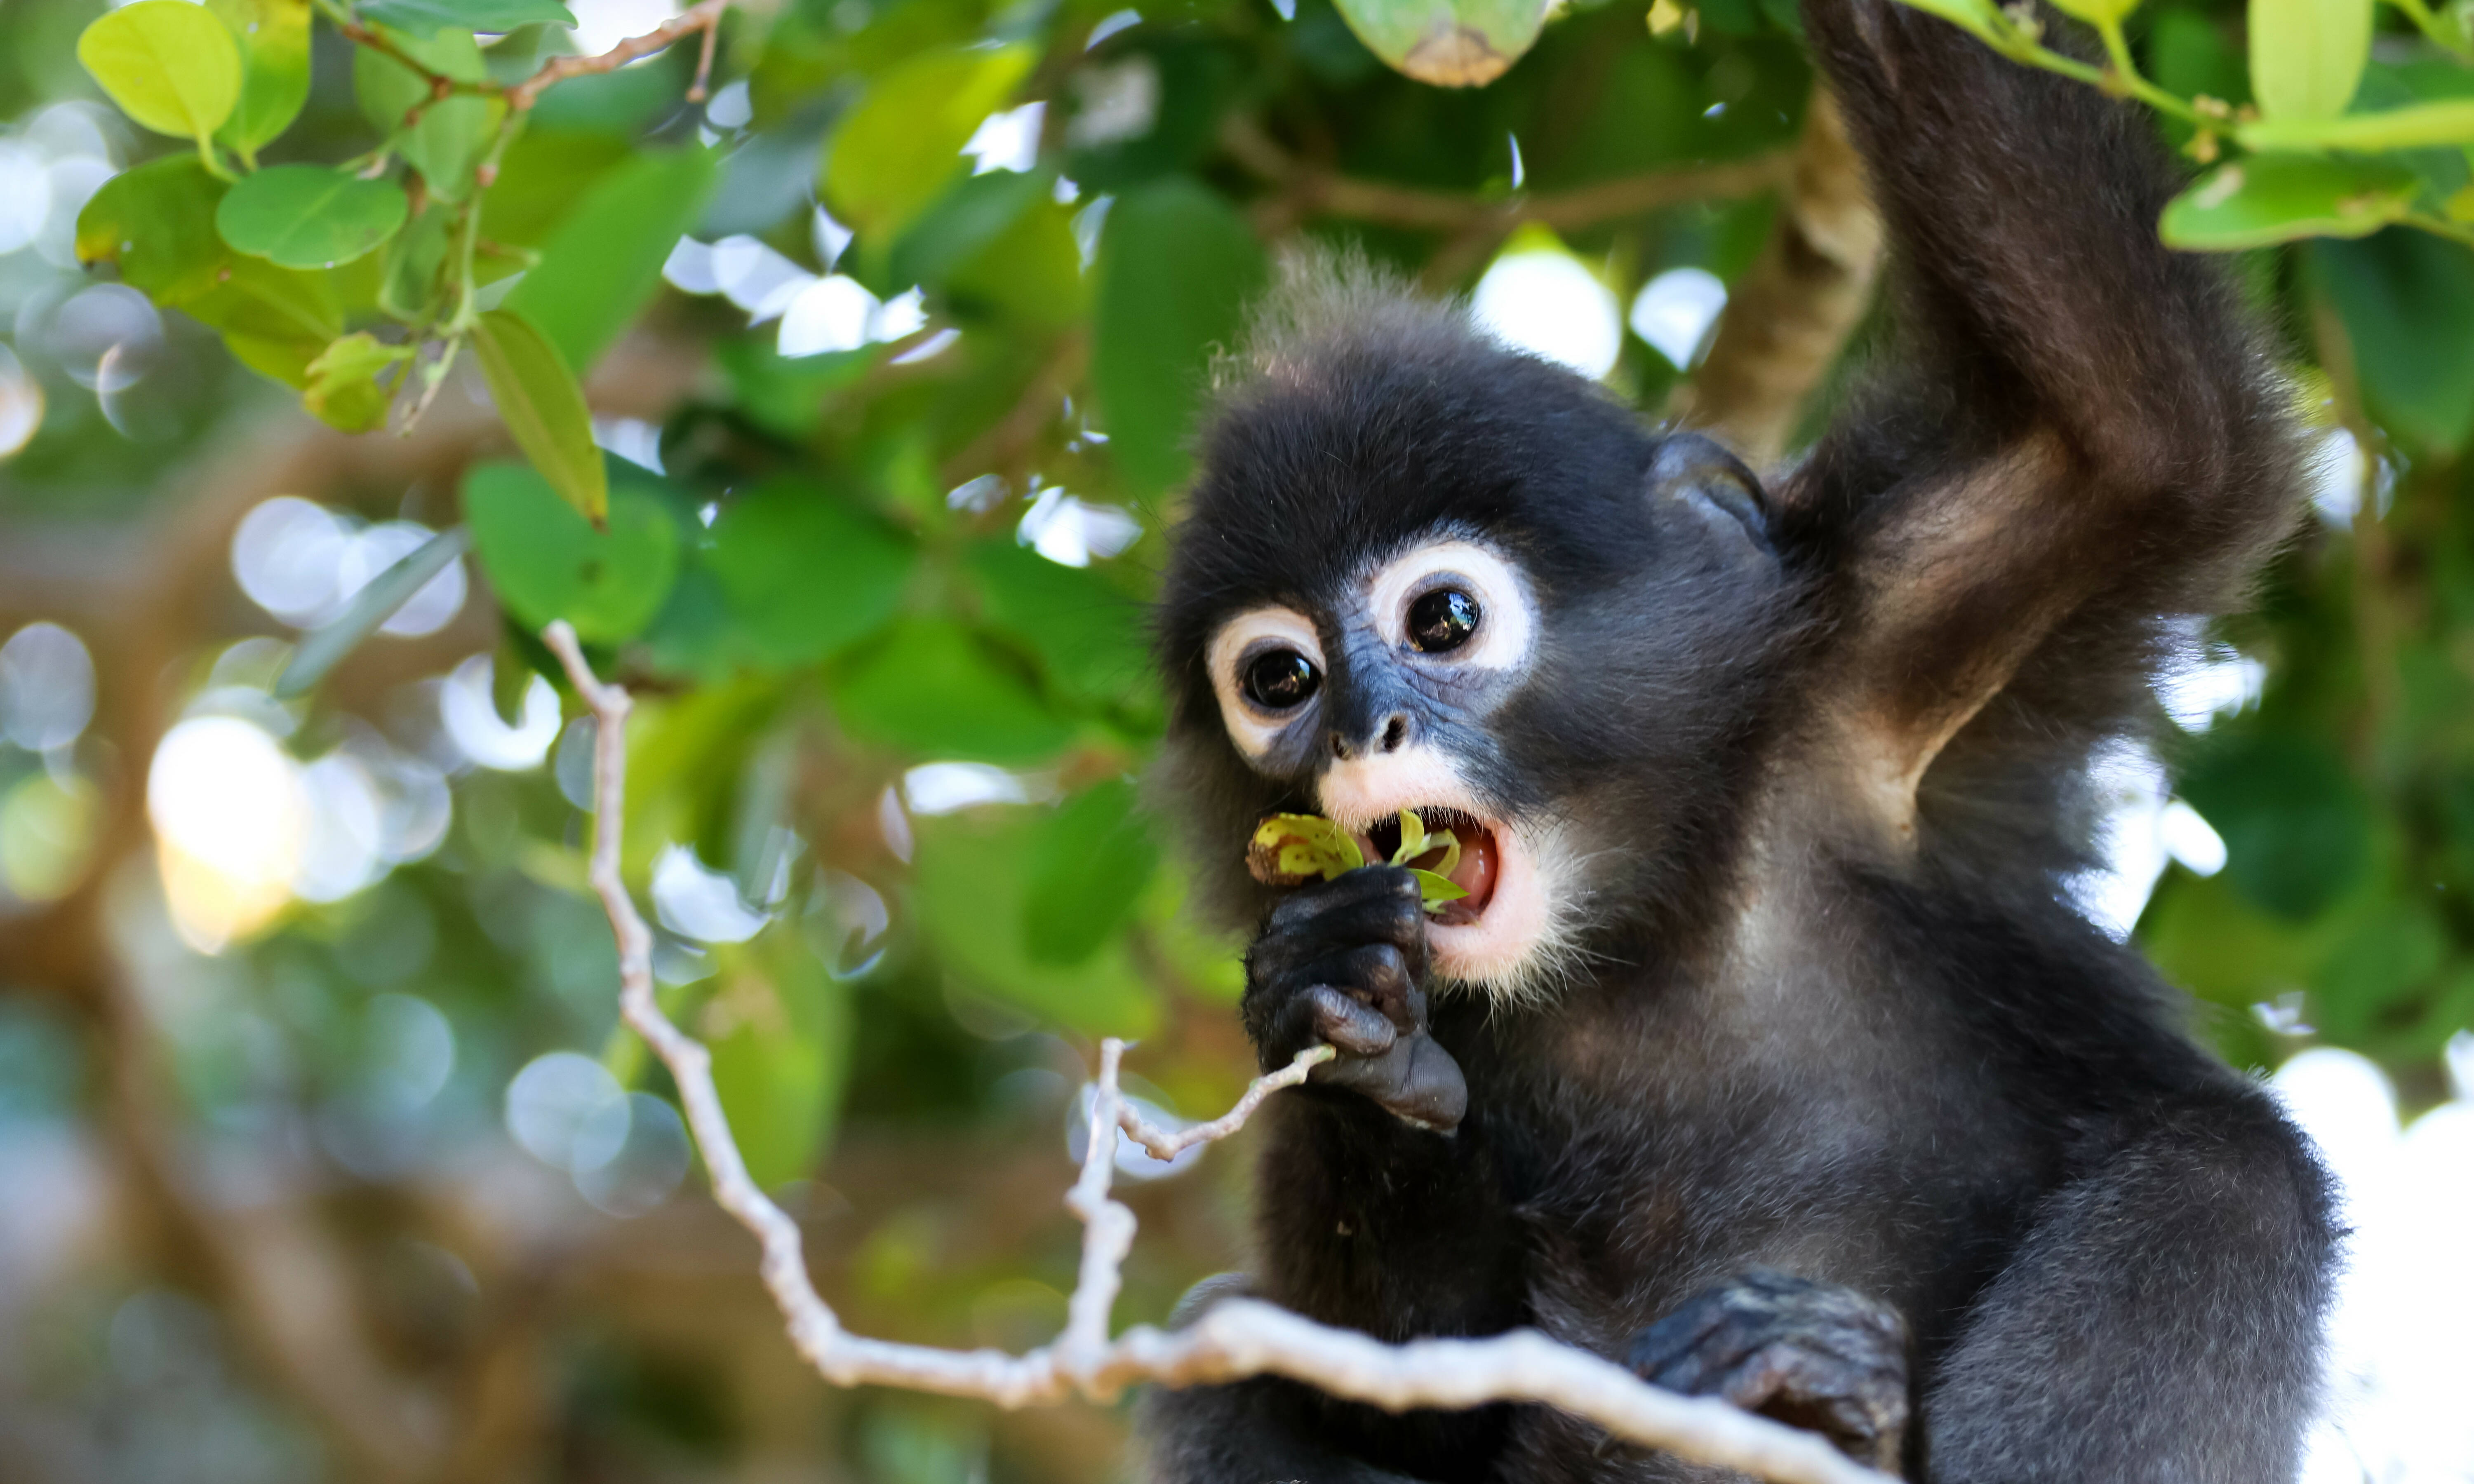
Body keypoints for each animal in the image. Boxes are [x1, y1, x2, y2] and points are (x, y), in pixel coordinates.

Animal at [1133, 0, 2335, 1474]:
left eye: (1444, 619)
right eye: (1281, 678)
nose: (1366, 725)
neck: (1625, 937)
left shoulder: (1870, 668)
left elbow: (2141, 428)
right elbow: (1395, 1393)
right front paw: (1349, 1025)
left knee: (2234, 1171)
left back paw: (1837, 1403)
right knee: (1219, 1353)